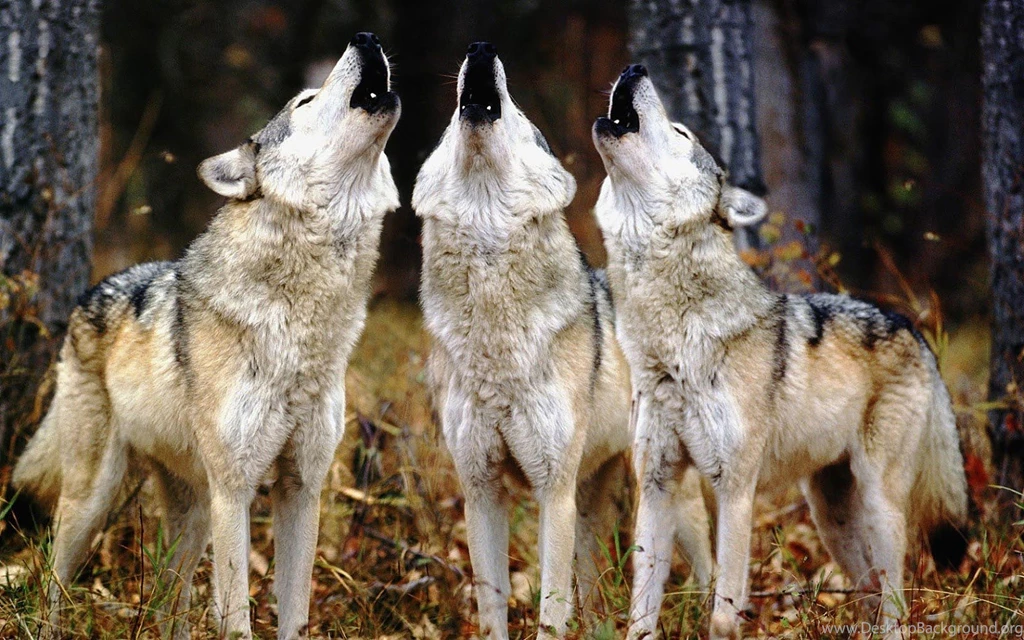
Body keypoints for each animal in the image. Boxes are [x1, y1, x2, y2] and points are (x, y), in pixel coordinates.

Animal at [12, 32, 400, 640]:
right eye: (306, 100)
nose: (366, 39)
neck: (302, 327)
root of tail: (90, 290)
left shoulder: (302, 488)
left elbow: (294, 614)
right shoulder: (233, 492)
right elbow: (236, 617)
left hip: (191, 517)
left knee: (165, 606)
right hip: (95, 499)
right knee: (53, 579)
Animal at [412, 44, 713, 639]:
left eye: (521, 115)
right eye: (447, 125)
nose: (481, 49)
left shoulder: (553, 491)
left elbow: (550, 611)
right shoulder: (480, 490)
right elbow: (492, 609)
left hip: (661, 495)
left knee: (709, 568)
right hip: (591, 501)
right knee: (595, 595)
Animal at [591, 64, 970, 640]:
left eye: (681, 132)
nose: (635, 69)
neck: (672, 344)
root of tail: (911, 327)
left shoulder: (735, 489)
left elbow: (723, 613)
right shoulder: (657, 483)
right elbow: (641, 611)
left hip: (880, 505)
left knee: (895, 604)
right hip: (830, 515)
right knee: (868, 593)